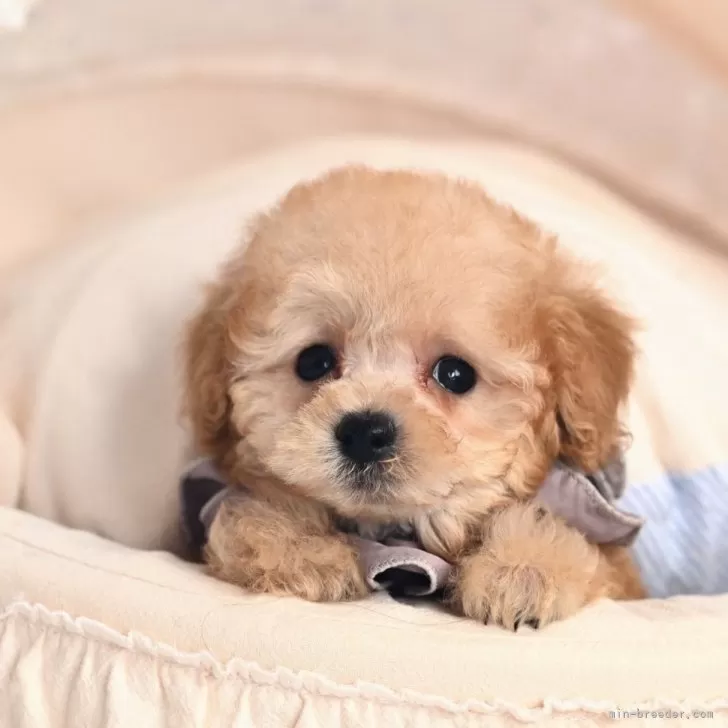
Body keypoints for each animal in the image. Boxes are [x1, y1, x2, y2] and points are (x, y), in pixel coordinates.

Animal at [183, 165, 644, 628]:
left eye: (455, 374)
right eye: (313, 362)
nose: (365, 432)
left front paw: (523, 569)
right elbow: (248, 514)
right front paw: (303, 552)